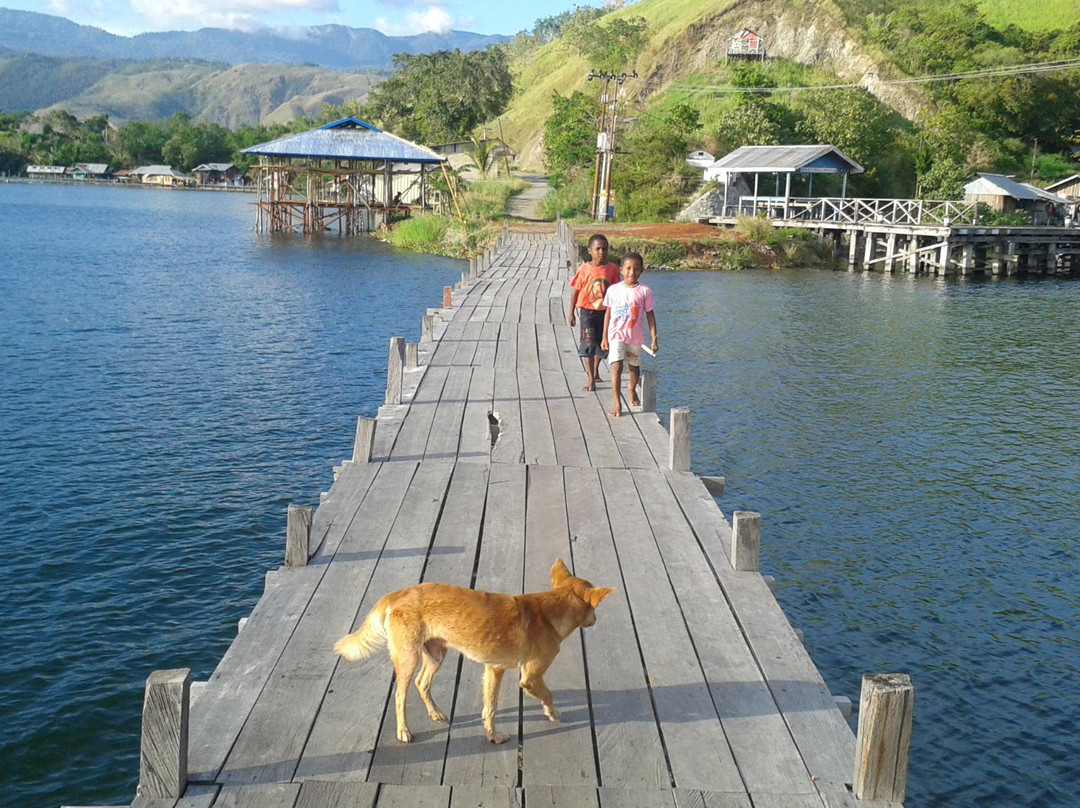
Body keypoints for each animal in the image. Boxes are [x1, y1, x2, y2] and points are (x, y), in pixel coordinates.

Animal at [328, 557, 617, 743]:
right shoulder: (531, 677)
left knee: (423, 683)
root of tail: (398, 593)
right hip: (408, 658)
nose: (596, 620)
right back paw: (404, 731)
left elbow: (489, 709)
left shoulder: (494, 670)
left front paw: (493, 736)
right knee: (400, 696)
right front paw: (553, 714)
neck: (549, 610)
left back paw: (435, 713)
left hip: (435, 654)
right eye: (595, 609)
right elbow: (548, 695)